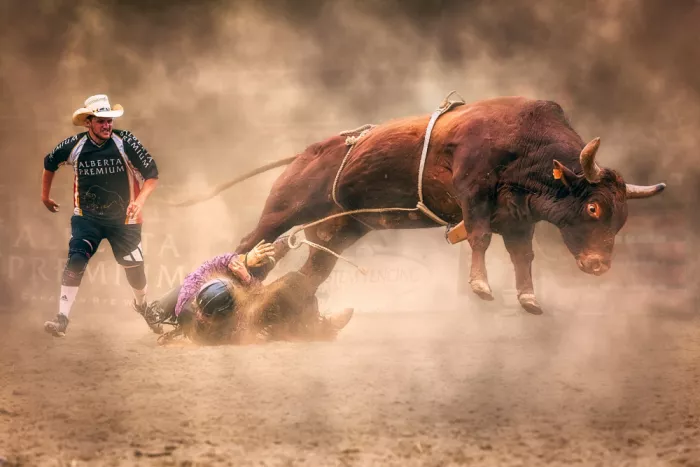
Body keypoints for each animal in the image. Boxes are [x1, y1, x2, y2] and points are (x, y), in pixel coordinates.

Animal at [175, 96, 666, 315]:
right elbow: (479, 237)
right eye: (594, 209)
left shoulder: (518, 218)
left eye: (622, 220)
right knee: (249, 246)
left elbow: (521, 256)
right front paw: (480, 286)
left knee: (309, 269)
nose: (599, 265)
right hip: (283, 210)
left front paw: (527, 297)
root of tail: (306, 152)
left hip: (341, 228)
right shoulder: (474, 192)